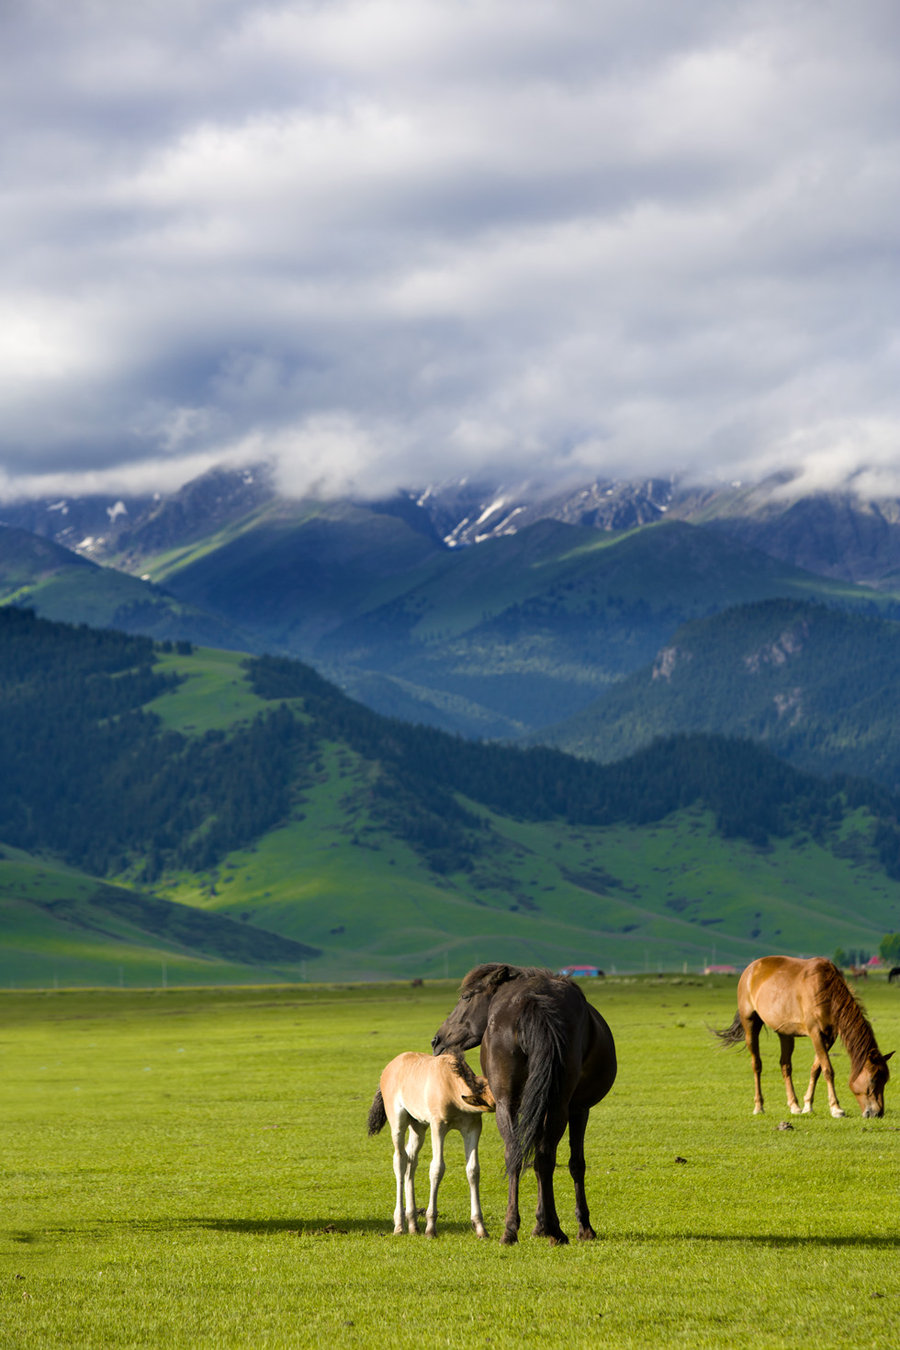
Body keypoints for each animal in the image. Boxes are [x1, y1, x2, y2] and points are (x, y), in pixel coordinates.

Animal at [367, 1047, 496, 1236]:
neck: (452, 1087)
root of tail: (388, 1068)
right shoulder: (438, 1125)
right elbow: (437, 1168)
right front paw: (430, 1227)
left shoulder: (472, 1127)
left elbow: (473, 1170)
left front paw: (480, 1227)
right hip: (398, 1122)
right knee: (400, 1160)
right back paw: (399, 1225)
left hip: (418, 1125)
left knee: (411, 1160)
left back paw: (413, 1224)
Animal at [431, 961, 620, 1242]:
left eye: (465, 997)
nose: (437, 1040)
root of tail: (533, 1002)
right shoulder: (578, 1109)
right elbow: (575, 1164)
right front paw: (582, 1227)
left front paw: (541, 1224)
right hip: (556, 1106)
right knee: (541, 1156)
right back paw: (552, 1230)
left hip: (511, 1104)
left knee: (518, 1155)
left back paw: (513, 1229)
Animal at [717, 950, 895, 1117]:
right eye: (873, 1079)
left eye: (885, 1079)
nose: (878, 1113)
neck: (826, 991)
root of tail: (750, 969)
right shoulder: (815, 1032)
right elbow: (828, 1070)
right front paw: (836, 1108)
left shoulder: (829, 1036)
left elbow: (816, 1069)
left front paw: (808, 1105)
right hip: (751, 1025)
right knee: (757, 1065)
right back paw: (759, 1106)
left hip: (785, 1033)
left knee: (785, 1065)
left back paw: (794, 1106)